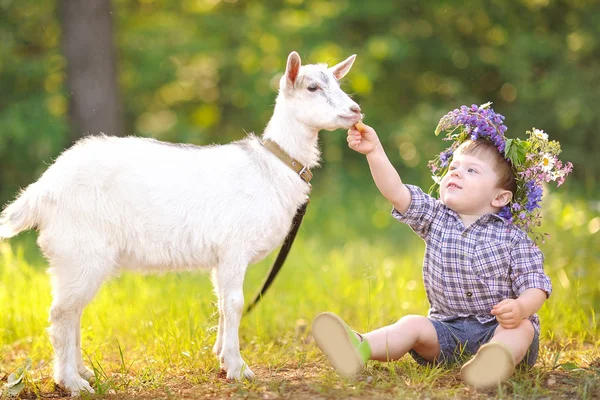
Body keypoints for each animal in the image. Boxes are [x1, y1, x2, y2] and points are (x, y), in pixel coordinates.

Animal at [0, 50, 360, 394]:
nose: (356, 111)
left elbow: (222, 304)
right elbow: (236, 303)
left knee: (72, 311)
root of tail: (42, 190)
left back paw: (82, 371)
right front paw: (239, 368)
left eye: (338, 82)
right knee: (62, 313)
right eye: (312, 87)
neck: (272, 166)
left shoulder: (221, 258)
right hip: (80, 249)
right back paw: (71, 382)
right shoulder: (234, 248)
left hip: (72, 258)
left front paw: (221, 357)